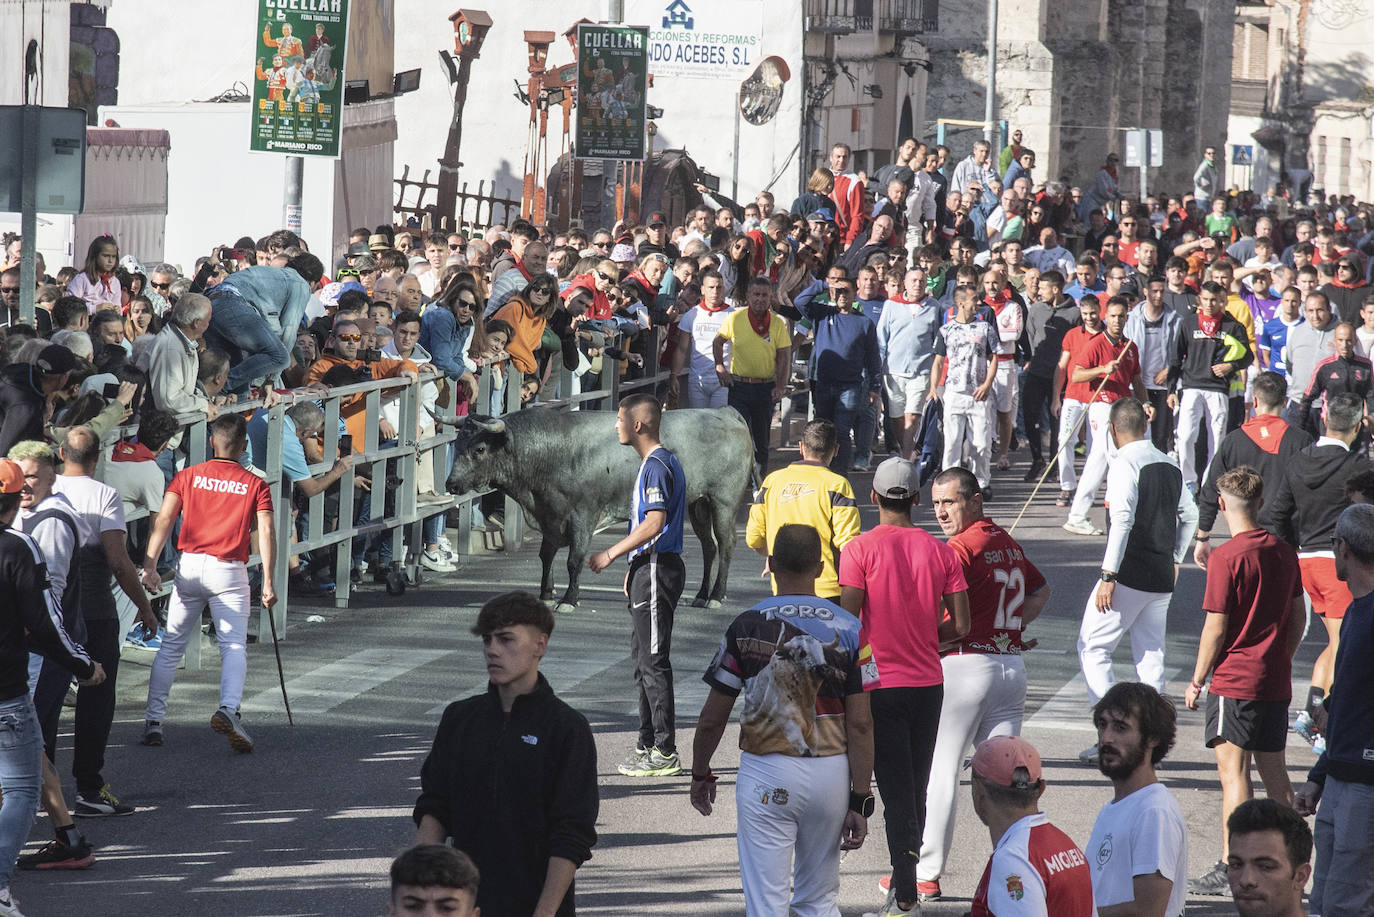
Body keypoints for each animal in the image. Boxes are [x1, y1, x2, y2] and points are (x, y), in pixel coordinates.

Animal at [445, 406, 752, 610]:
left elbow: (574, 559)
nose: (451, 484)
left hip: (723, 502)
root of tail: (725, 412)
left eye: (479, 449)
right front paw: (546, 593)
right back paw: (701, 595)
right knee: (709, 546)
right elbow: (546, 556)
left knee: (726, 544)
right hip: (698, 503)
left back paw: (716, 596)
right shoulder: (550, 515)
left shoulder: (583, 514)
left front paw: (569, 599)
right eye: (457, 444)